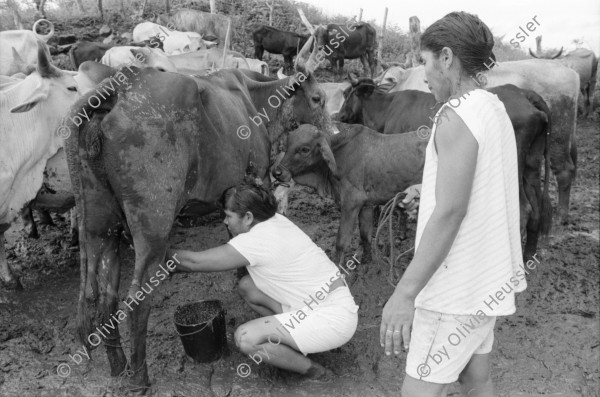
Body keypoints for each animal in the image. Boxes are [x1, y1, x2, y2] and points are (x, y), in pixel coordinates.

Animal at [60, 35, 330, 388]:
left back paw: (118, 366)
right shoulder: (255, 178)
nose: (332, 129)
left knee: (105, 297)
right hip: (153, 224)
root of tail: (119, 85)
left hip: (100, 223)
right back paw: (139, 379)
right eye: (318, 98)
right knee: (137, 298)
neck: (256, 99)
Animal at [272, 124, 426, 264]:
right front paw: (367, 263)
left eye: (305, 149)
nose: (277, 172)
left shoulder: (351, 203)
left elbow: (341, 242)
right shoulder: (366, 205)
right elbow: (365, 235)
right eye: (287, 145)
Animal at [338, 77, 552, 260]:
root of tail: (522, 93)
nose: (338, 115)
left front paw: (400, 234)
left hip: (514, 166)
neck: (387, 110)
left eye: (347, 93)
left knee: (525, 209)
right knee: (536, 209)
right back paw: (528, 256)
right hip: (532, 165)